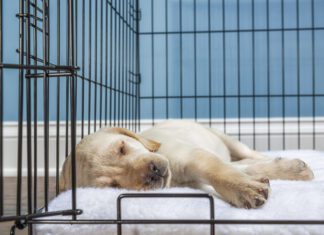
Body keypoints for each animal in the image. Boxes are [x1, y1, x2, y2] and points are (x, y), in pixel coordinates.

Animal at [59, 120, 312, 208]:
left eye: (122, 148)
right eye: (113, 186)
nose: (152, 172)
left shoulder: (194, 156)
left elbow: (219, 171)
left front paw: (244, 189)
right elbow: (233, 170)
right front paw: (250, 184)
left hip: (226, 138)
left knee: (251, 156)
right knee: (246, 163)